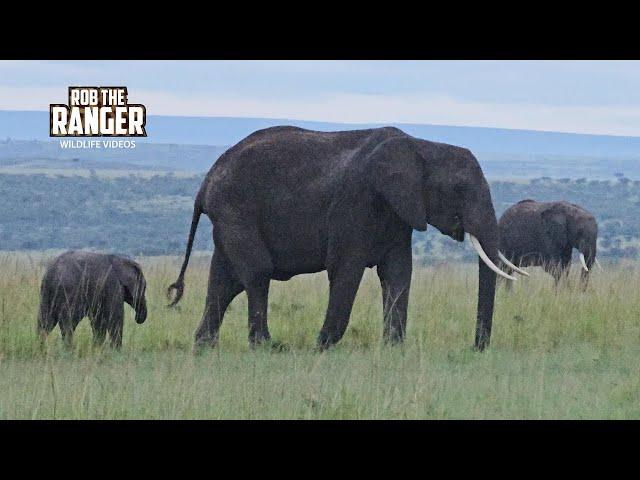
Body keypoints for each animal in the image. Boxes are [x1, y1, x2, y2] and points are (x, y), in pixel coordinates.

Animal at [168, 126, 516, 352]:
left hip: (229, 216)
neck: (422, 146)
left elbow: (398, 273)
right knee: (256, 273)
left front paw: (393, 349)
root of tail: (206, 182)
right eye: (459, 189)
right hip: (236, 208)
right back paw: (267, 347)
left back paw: (204, 347)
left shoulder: (398, 211)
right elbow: (346, 270)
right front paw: (321, 347)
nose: (476, 348)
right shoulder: (356, 201)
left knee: (224, 281)